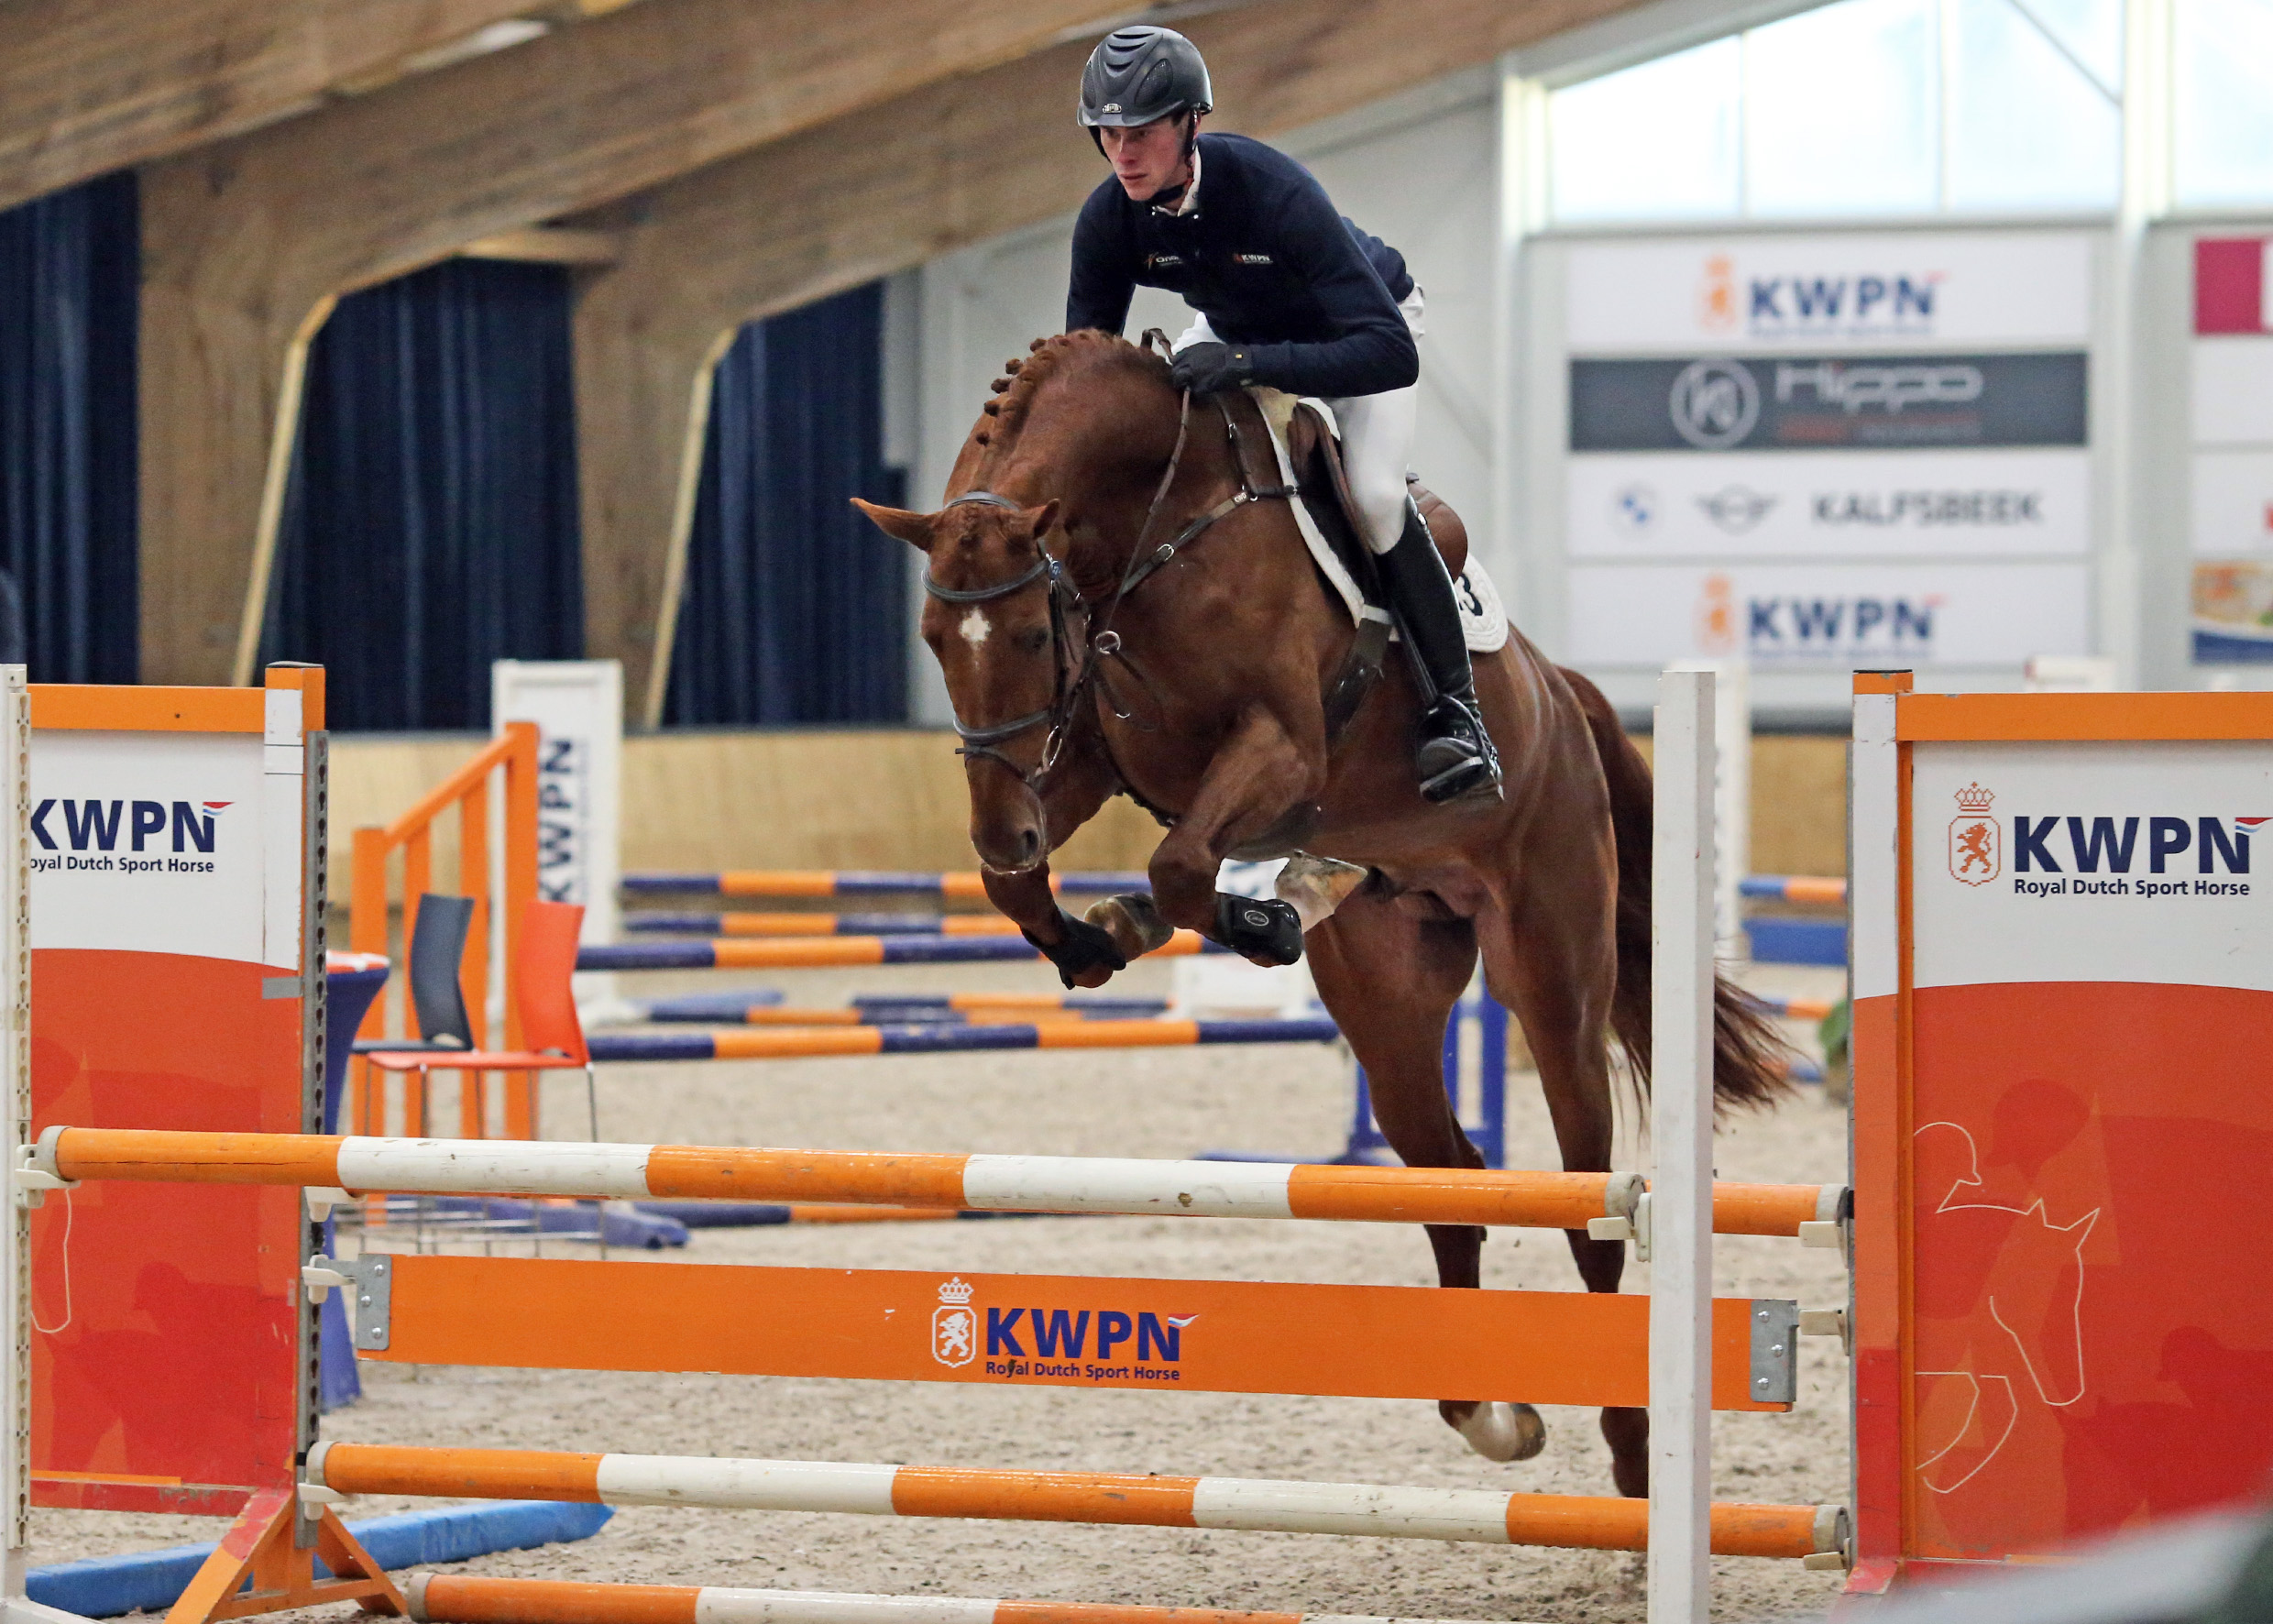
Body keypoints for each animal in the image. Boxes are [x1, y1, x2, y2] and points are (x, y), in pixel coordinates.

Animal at [854, 328, 1791, 1498]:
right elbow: (1034, 886)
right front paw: (1097, 931)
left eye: (1029, 631)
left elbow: (1178, 862)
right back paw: (1488, 1411)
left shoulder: (1279, 747)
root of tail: (1561, 692)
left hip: (1550, 974)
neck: (1155, 524)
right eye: (935, 635)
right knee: (1451, 1174)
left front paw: (1232, 923)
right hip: (1389, 993)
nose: (1001, 826)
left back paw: (1629, 1452)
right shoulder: (1099, 757)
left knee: (1590, 1201)